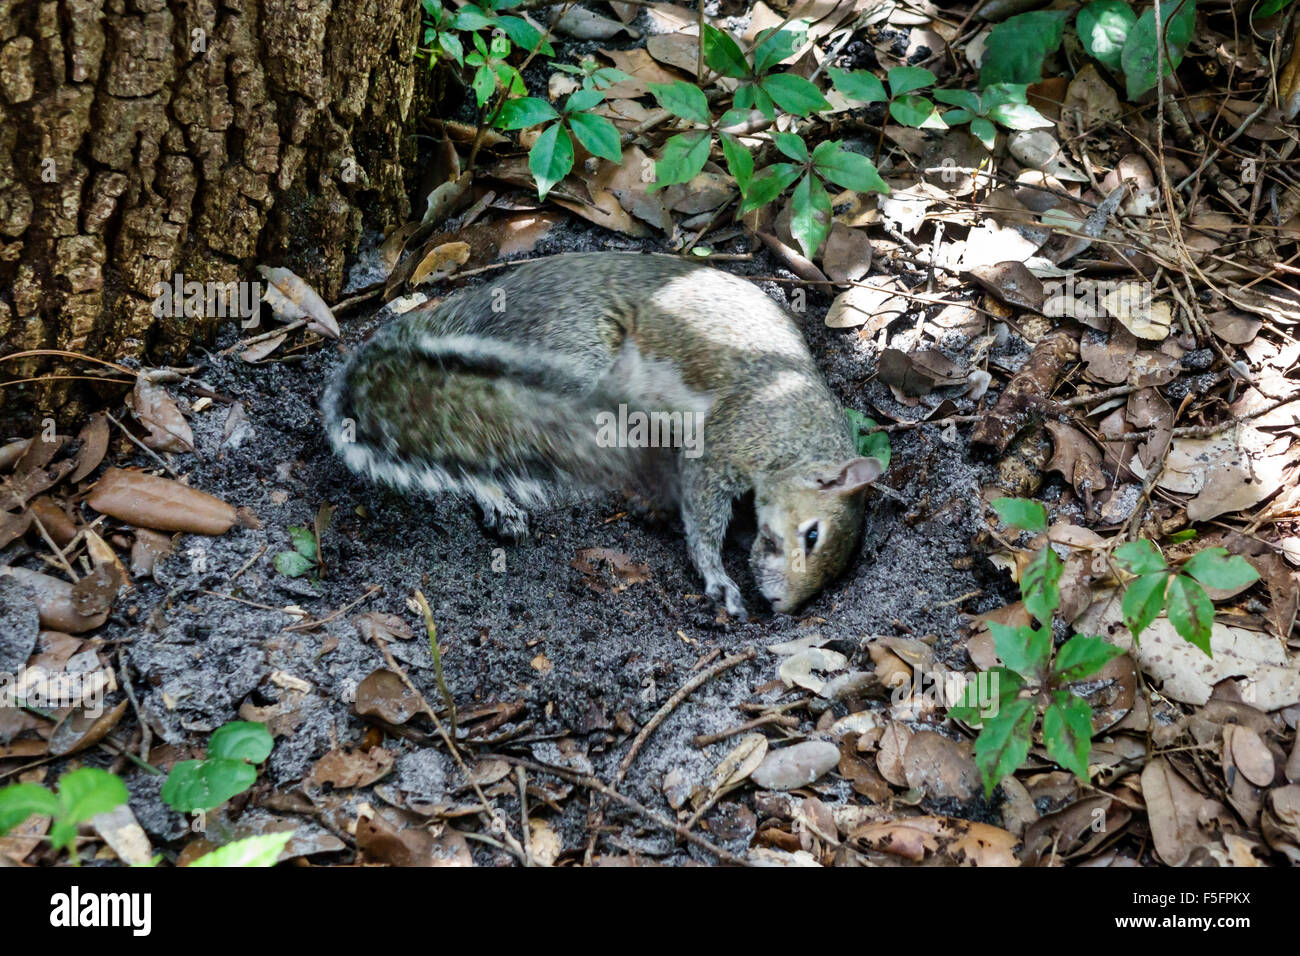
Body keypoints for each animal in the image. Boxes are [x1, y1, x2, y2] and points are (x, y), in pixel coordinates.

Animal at [321, 251, 883, 616]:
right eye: (812, 535)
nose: (781, 605)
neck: (797, 434)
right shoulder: (733, 436)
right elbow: (702, 510)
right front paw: (716, 576)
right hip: (574, 354)